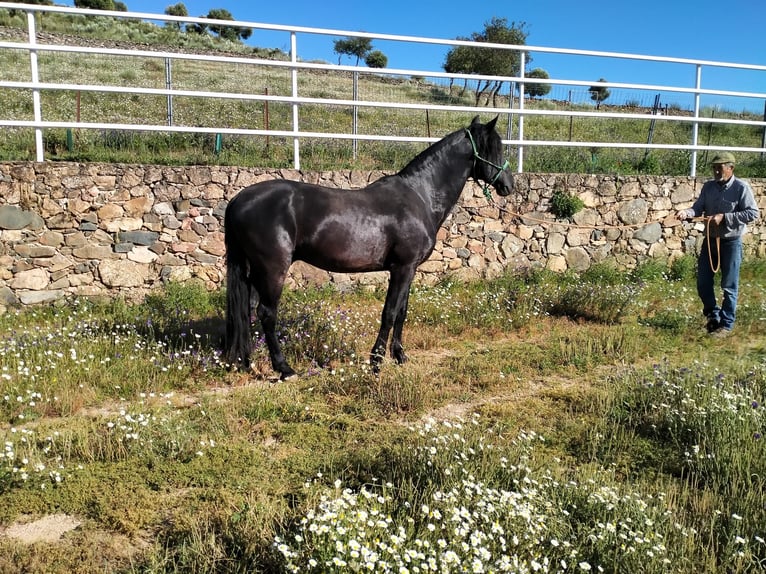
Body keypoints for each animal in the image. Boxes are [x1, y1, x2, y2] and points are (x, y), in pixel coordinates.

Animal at [226, 115, 516, 380]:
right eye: (494, 148)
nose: (509, 186)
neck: (420, 196)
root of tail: (238, 199)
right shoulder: (402, 268)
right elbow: (389, 312)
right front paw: (376, 361)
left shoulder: (409, 270)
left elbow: (402, 312)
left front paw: (399, 356)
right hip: (273, 269)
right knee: (266, 313)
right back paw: (284, 368)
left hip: (253, 270)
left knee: (247, 311)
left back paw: (248, 361)